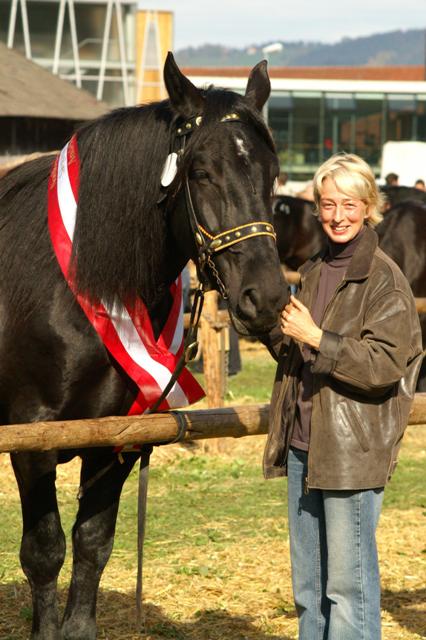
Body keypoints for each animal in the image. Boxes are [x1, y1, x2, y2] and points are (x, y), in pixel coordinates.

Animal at [0, 53, 287, 639]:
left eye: (272, 176)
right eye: (201, 173)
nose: (267, 298)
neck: (82, 284)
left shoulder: (120, 440)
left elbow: (92, 547)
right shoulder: (31, 441)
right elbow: (44, 552)